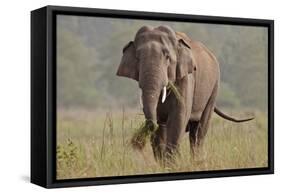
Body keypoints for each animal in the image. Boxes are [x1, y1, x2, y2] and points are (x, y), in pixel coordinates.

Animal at [115, 25, 253, 162]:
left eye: (167, 57)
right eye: (138, 58)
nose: (136, 141)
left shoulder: (186, 79)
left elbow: (179, 116)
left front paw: (172, 163)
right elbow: (161, 125)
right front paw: (163, 163)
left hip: (214, 88)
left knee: (200, 130)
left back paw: (196, 161)